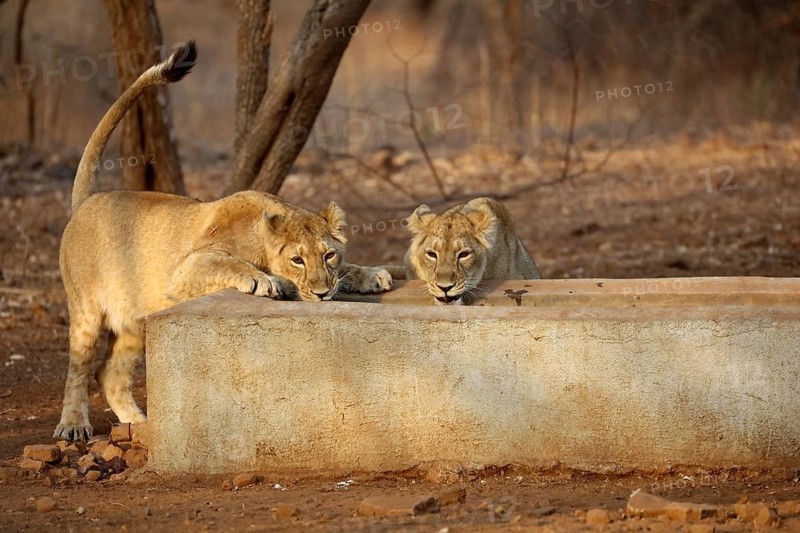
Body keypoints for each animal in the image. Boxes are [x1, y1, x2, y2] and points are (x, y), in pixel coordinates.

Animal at [54, 42, 392, 442]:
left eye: (329, 256)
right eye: (297, 260)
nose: (323, 294)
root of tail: (86, 202)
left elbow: (351, 269)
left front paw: (372, 275)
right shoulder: (186, 269)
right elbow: (231, 263)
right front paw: (267, 281)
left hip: (136, 320)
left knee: (110, 375)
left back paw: (142, 424)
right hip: (87, 311)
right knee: (79, 368)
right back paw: (73, 425)